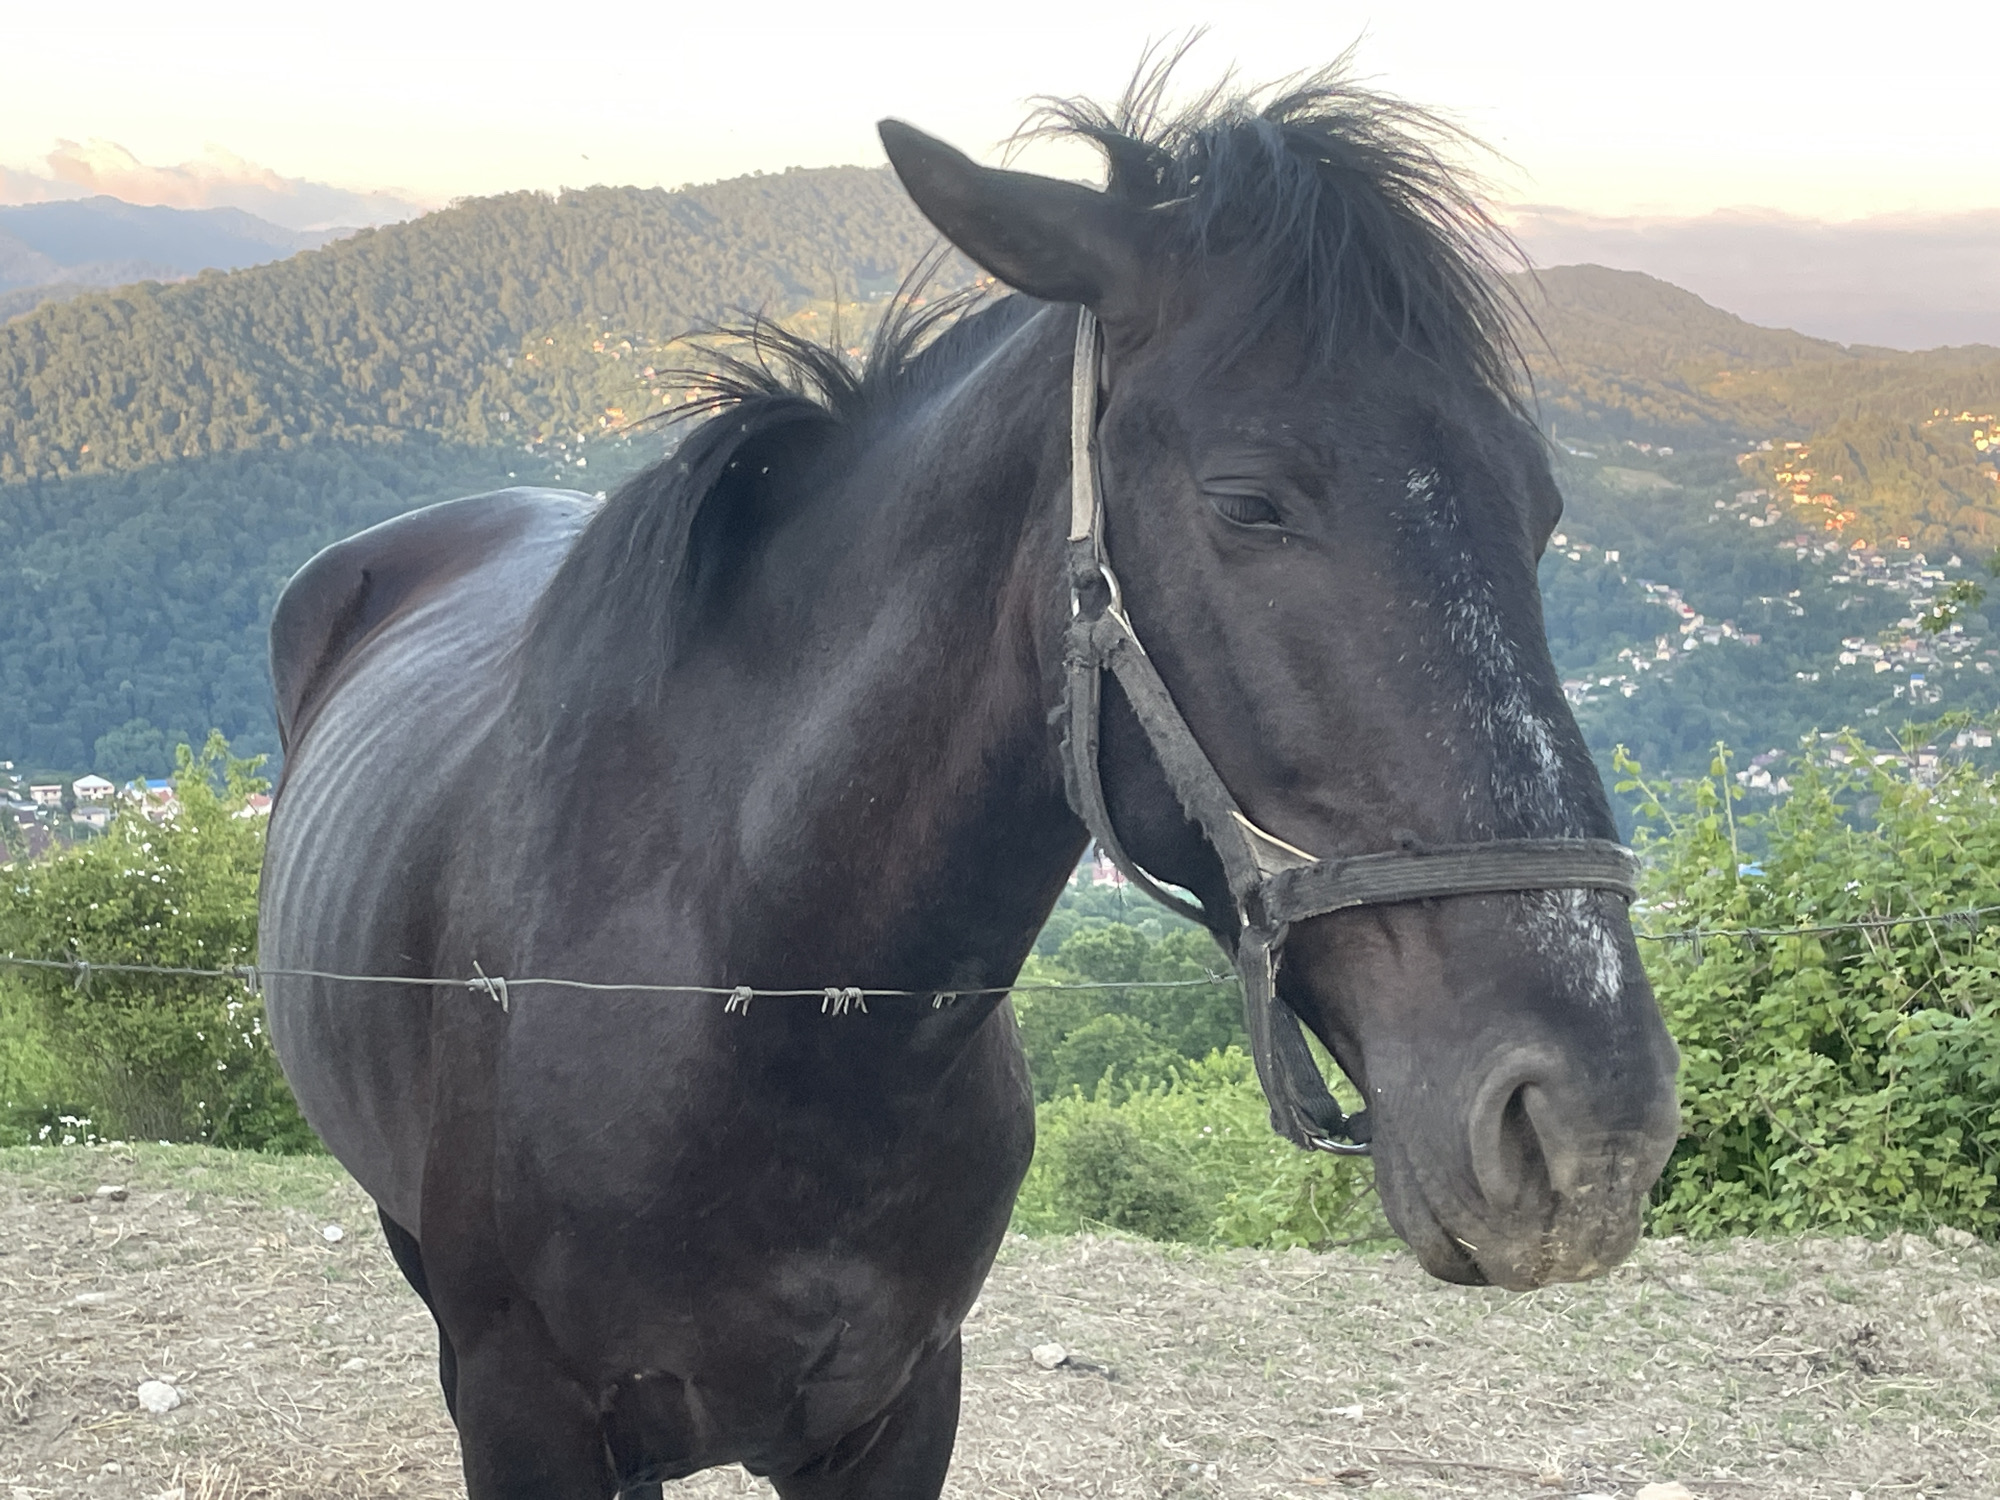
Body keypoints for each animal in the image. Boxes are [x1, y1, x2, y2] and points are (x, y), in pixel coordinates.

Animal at [259, 67, 1681, 1499]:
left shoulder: (900, 1408)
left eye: (1542, 508)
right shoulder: (523, 1414)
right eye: (1246, 502)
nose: (1588, 1126)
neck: (753, 994)